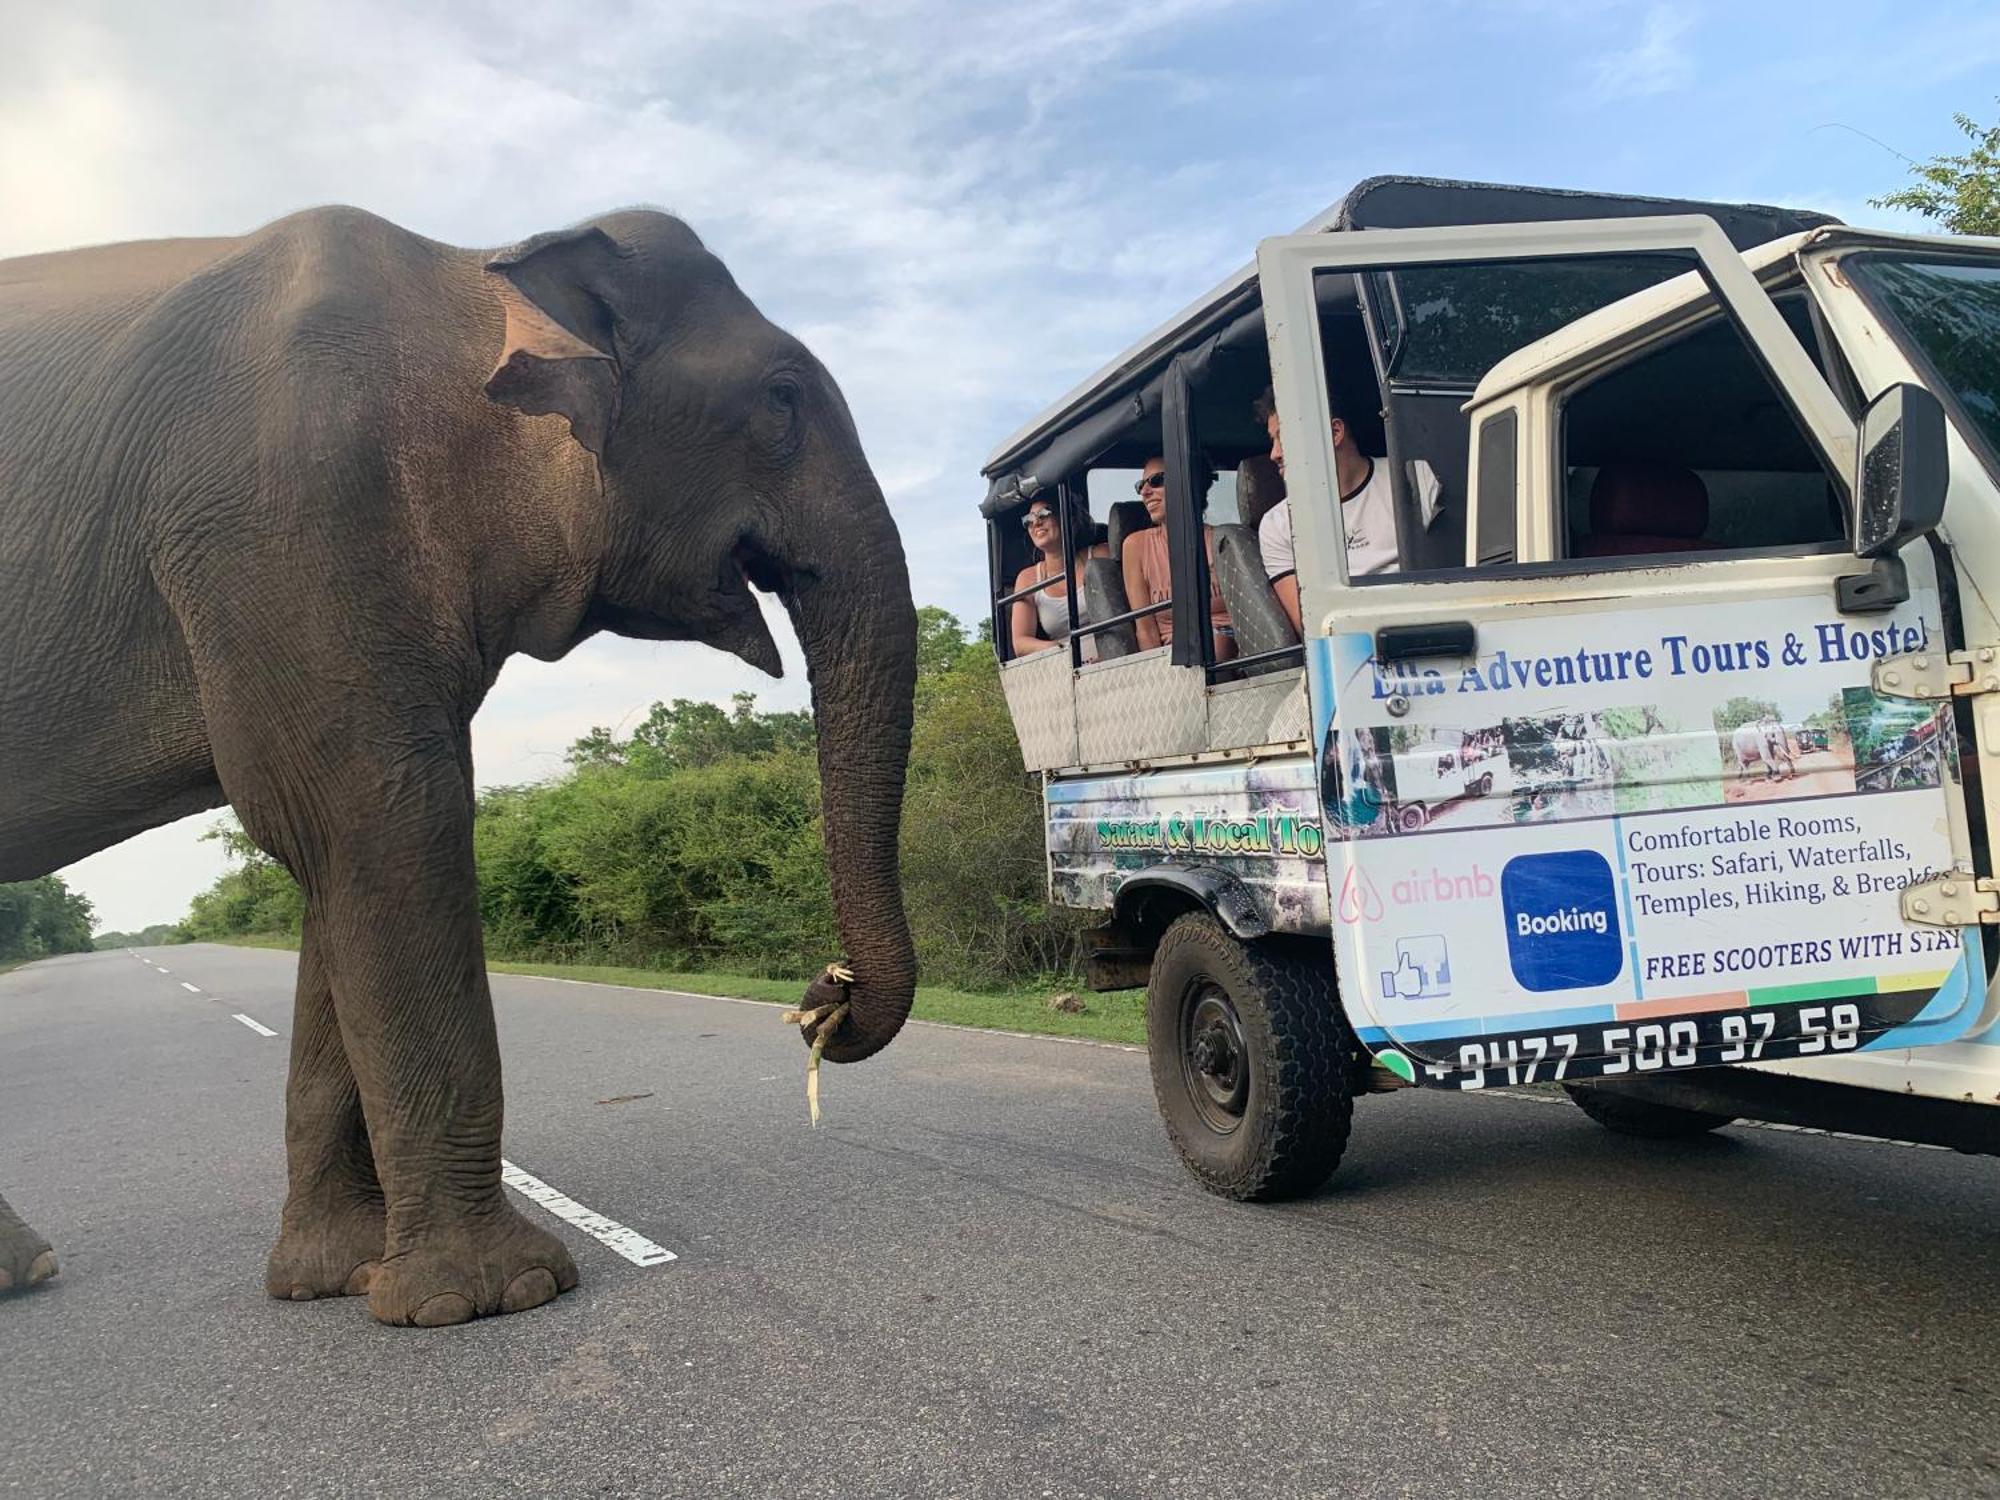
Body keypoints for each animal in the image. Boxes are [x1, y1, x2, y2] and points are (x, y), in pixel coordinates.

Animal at [0, 209, 920, 1328]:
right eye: (781, 400)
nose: (823, 996)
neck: (471, 272)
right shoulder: (288, 519)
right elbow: (382, 817)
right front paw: (492, 1297)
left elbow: (350, 851)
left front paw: (335, 1278)